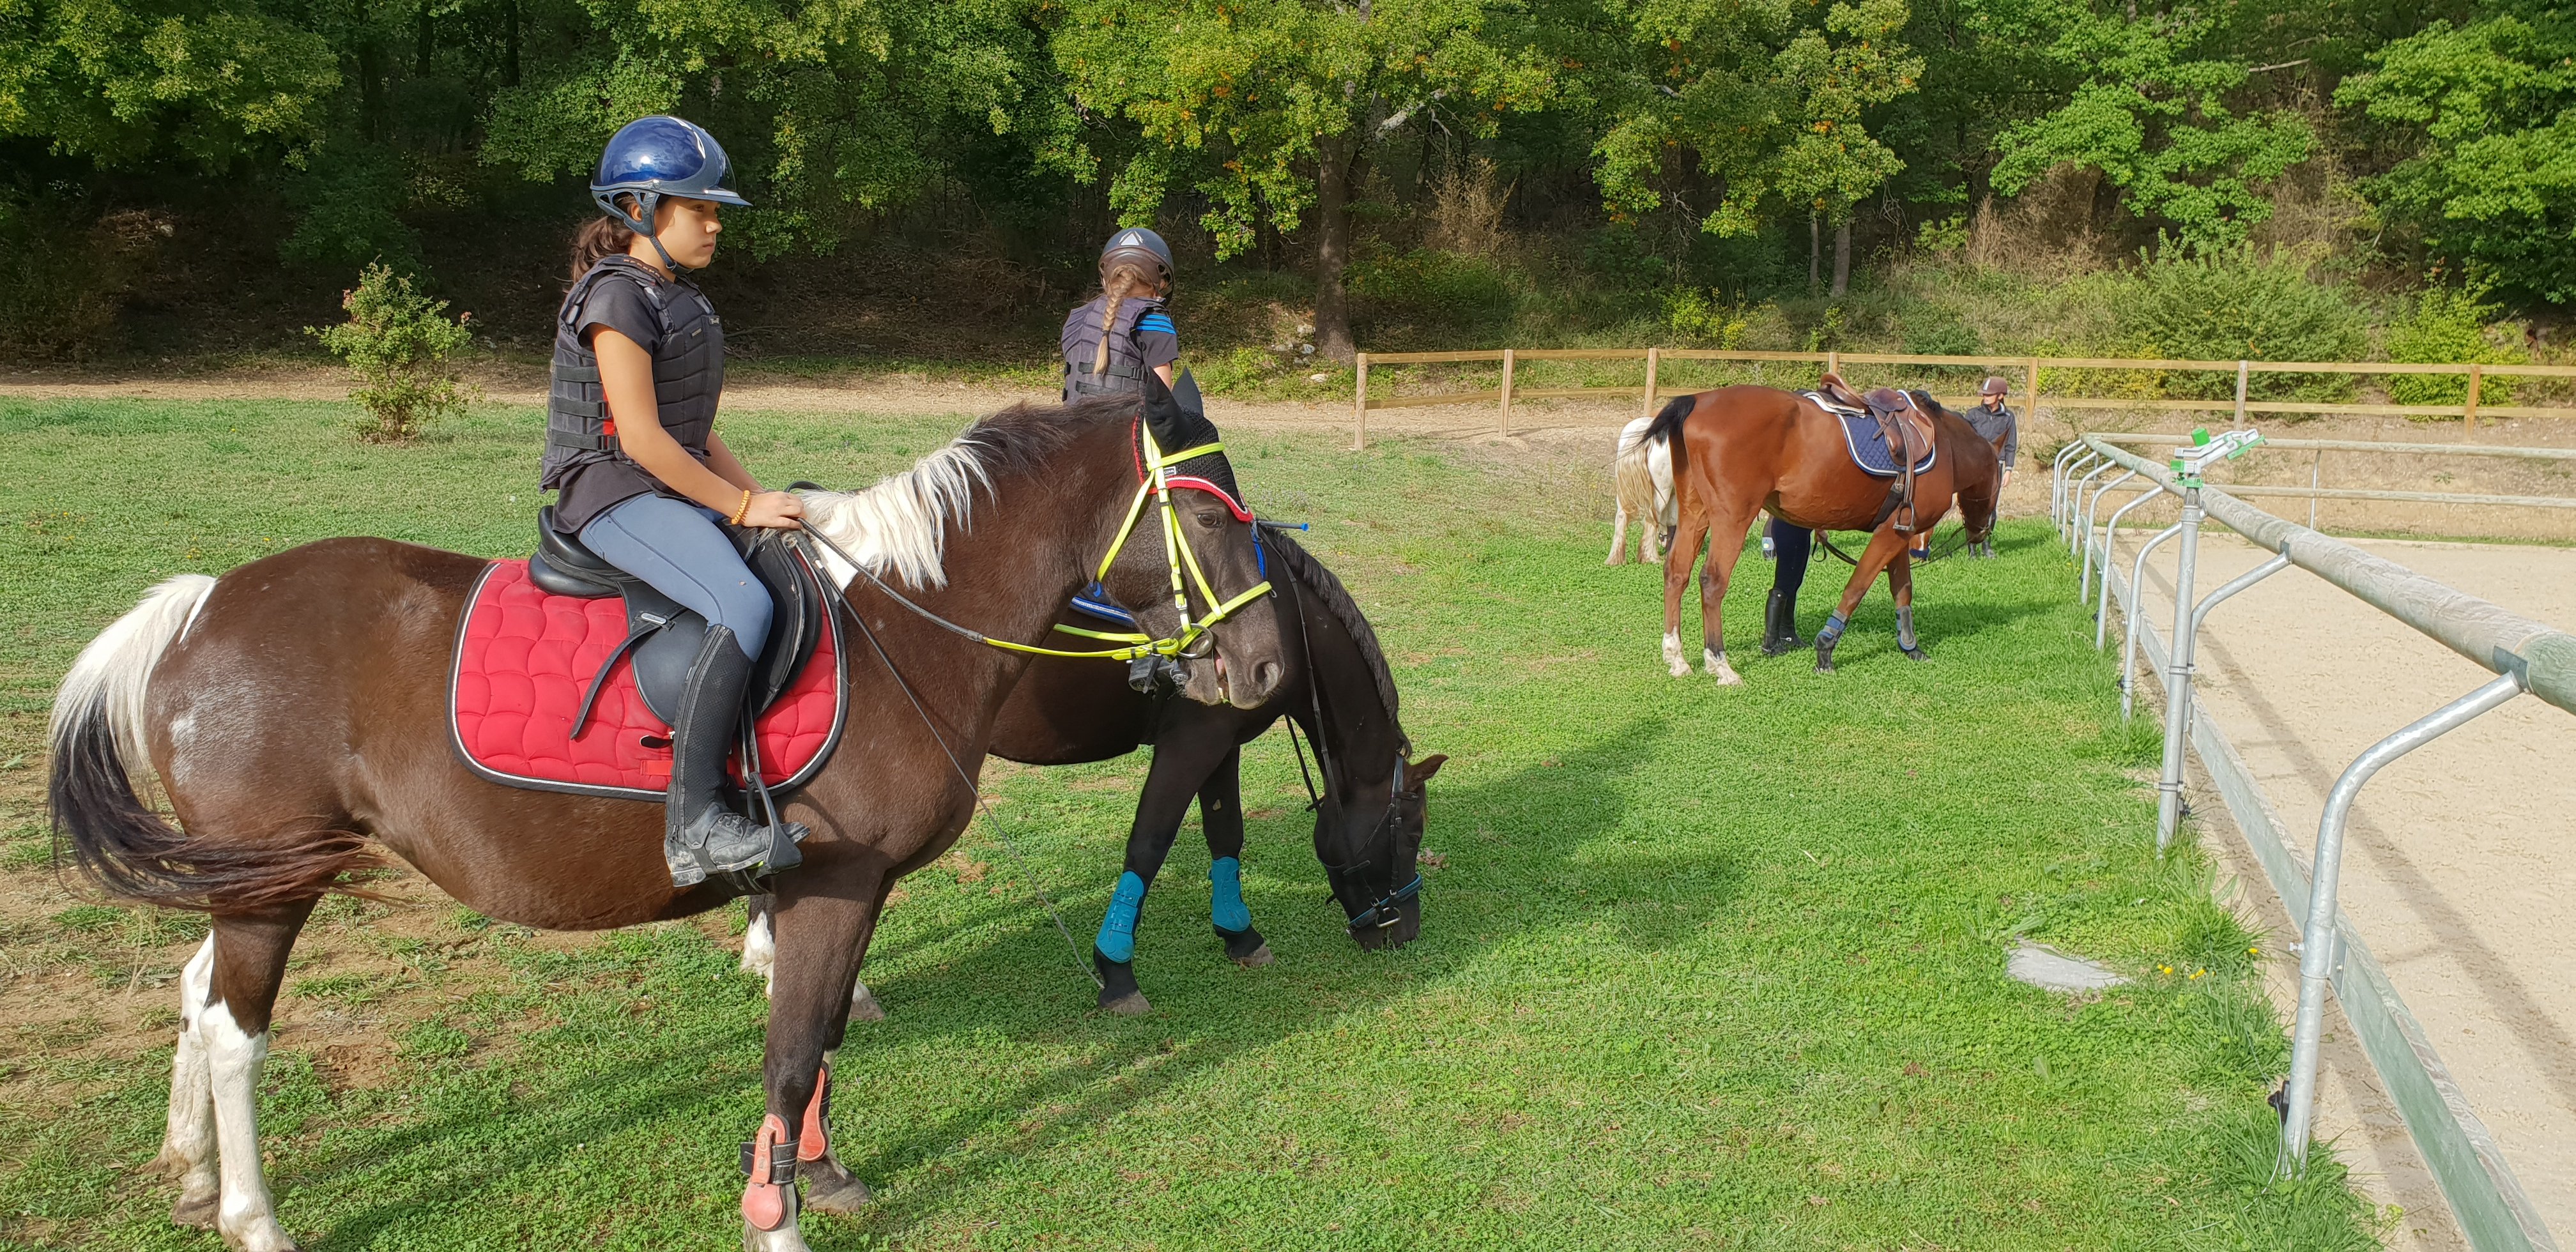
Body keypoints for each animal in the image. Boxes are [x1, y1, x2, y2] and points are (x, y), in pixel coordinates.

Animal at [46, 393, 1288, 1252]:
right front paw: (775, 1219)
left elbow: (821, 1037)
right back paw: (252, 1215)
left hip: (255, 873)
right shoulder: (834, 885)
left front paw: (815, 1176)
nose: (1268, 666)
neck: (903, 620)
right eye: (1199, 508)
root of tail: (199, 606)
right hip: (275, 879)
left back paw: (193, 1167)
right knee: (236, 1031)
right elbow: (791, 1051)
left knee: (197, 990)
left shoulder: (845, 892)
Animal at [741, 528, 1445, 1019]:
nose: (1406, 933)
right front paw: (1118, 972)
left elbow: (1226, 836)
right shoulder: (1193, 741)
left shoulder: (1223, 743)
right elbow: (1149, 844)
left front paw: (1240, 935)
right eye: (1410, 832)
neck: (1281, 616)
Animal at [1604, 414, 1675, 565]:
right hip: (1660, 494)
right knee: (1651, 520)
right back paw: (1651, 558)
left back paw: (1615, 559)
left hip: (1622, 494)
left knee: (1621, 518)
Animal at [1644, 385, 2001, 681]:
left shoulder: (1900, 533)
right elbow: (1856, 589)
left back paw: (1676, 657)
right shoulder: (1889, 535)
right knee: (1712, 582)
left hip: (1695, 515)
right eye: (1998, 486)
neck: (1945, 445)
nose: (1981, 533)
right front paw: (1826, 649)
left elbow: (1903, 591)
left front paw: (1910, 646)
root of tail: (1697, 400)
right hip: (1732, 520)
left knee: (1676, 572)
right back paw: (1720, 664)